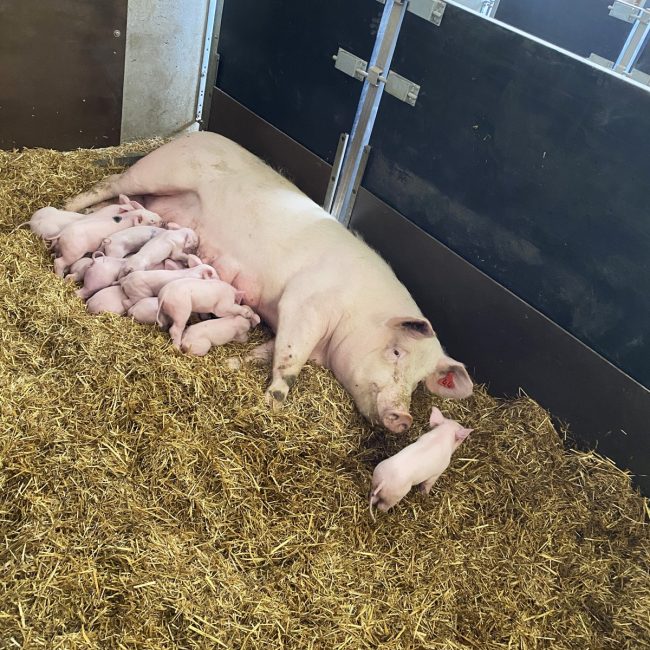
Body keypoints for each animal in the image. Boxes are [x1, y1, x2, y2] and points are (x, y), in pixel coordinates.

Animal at [65, 132, 473, 432]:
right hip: (160, 170)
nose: (403, 418)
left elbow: (268, 349)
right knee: (109, 182)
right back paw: (69, 206)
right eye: (397, 352)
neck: (358, 313)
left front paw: (236, 363)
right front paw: (272, 403)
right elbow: (290, 359)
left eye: (419, 382)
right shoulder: (304, 303)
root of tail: (197, 134)